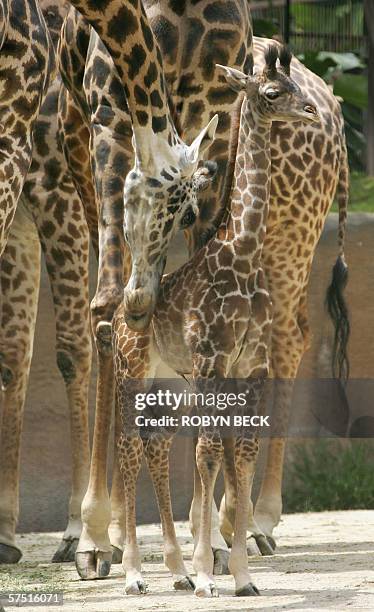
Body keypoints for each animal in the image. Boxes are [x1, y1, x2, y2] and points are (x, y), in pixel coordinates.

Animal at [112, 46, 318, 596]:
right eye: (273, 92)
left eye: (297, 86)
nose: (311, 113)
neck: (244, 253)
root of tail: (119, 313)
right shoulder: (210, 358)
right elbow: (207, 453)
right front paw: (209, 572)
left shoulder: (249, 364)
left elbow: (240, 451)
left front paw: (240, 575)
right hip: (131, 371)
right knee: (128, 446)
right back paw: (135, 574)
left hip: (170, 384)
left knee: (156, 447)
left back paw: (176, 571)